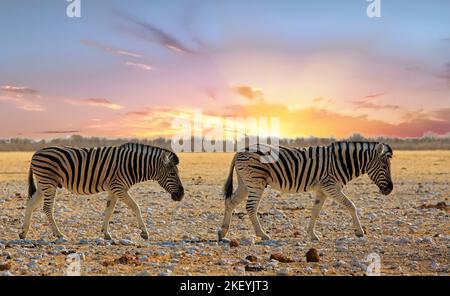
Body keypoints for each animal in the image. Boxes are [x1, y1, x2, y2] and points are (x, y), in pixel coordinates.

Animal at [19, 142, 185, 242]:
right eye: (172, 174)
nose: (181, 195)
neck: (133, 166)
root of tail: (36, 152)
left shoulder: (114, 188)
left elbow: (109, 210)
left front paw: (106, 233)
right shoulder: (119, 187)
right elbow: (135, 207)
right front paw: (144, 233)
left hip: (43, 184)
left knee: (31, 203)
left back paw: (23, 233)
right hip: (49, 182)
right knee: (47, 208)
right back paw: (59, 234)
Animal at [220, 141, 392, 240]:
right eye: (384, 166)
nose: (390, 190)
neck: (341, 162)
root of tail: (240, 151)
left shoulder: (322, 189)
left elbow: (315, 211)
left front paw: (312, 235)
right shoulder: (331, 186)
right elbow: (351, 205)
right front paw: (359, 232)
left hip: (245, 183)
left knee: (230, 202)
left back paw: (222, 233)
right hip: (256, 182)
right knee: (250, 207)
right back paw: (262, 234)